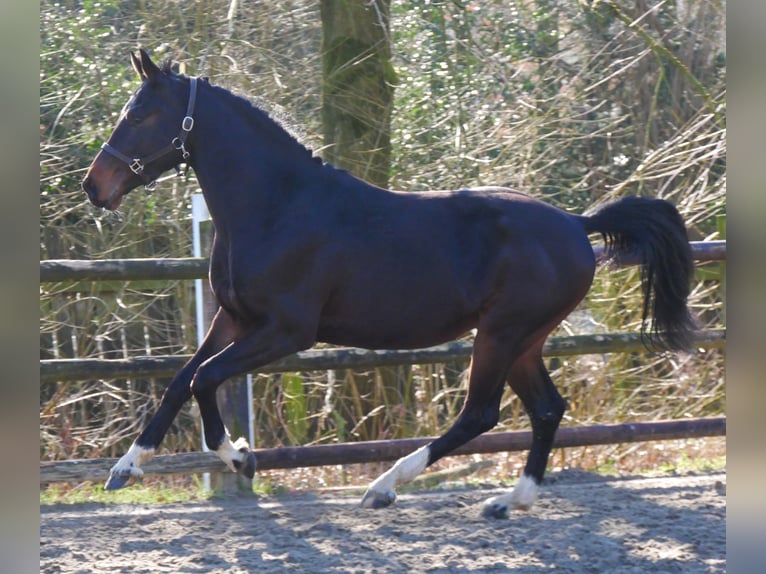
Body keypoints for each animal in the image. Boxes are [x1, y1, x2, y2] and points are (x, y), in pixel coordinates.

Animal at [81, 48, 700, 516]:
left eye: (141, 114)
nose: (94, 187)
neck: (278, 207)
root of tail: (576, 224)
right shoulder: (234, 318)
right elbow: (180, 379)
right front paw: (126, 467)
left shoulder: (287, 331)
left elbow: (205, 378)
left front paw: (238, 457)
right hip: (525, 339)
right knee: (547, 409)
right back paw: (509, 501)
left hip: (501, 332)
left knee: (482, 413)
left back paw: (385, 487)